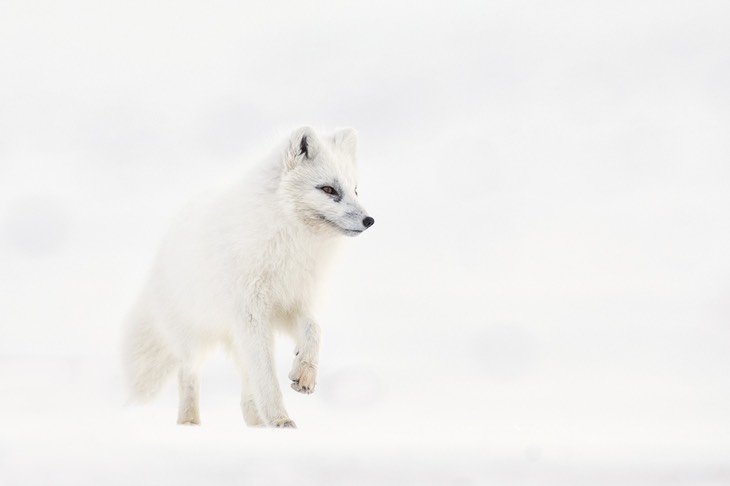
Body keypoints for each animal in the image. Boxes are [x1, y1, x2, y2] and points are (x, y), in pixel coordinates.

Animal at [120, 127, 376, 428]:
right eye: (328, 189)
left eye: (356, 190)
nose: (369, 220)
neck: (290, 243)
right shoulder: (252, 314)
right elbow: (266, 375)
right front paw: (280, 420)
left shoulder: (289, 304)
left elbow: (314, 331)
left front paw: (304, 373)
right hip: (195, 337)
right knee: (189, 372)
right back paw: (189, 422)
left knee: (245, 388)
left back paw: (255, 423)